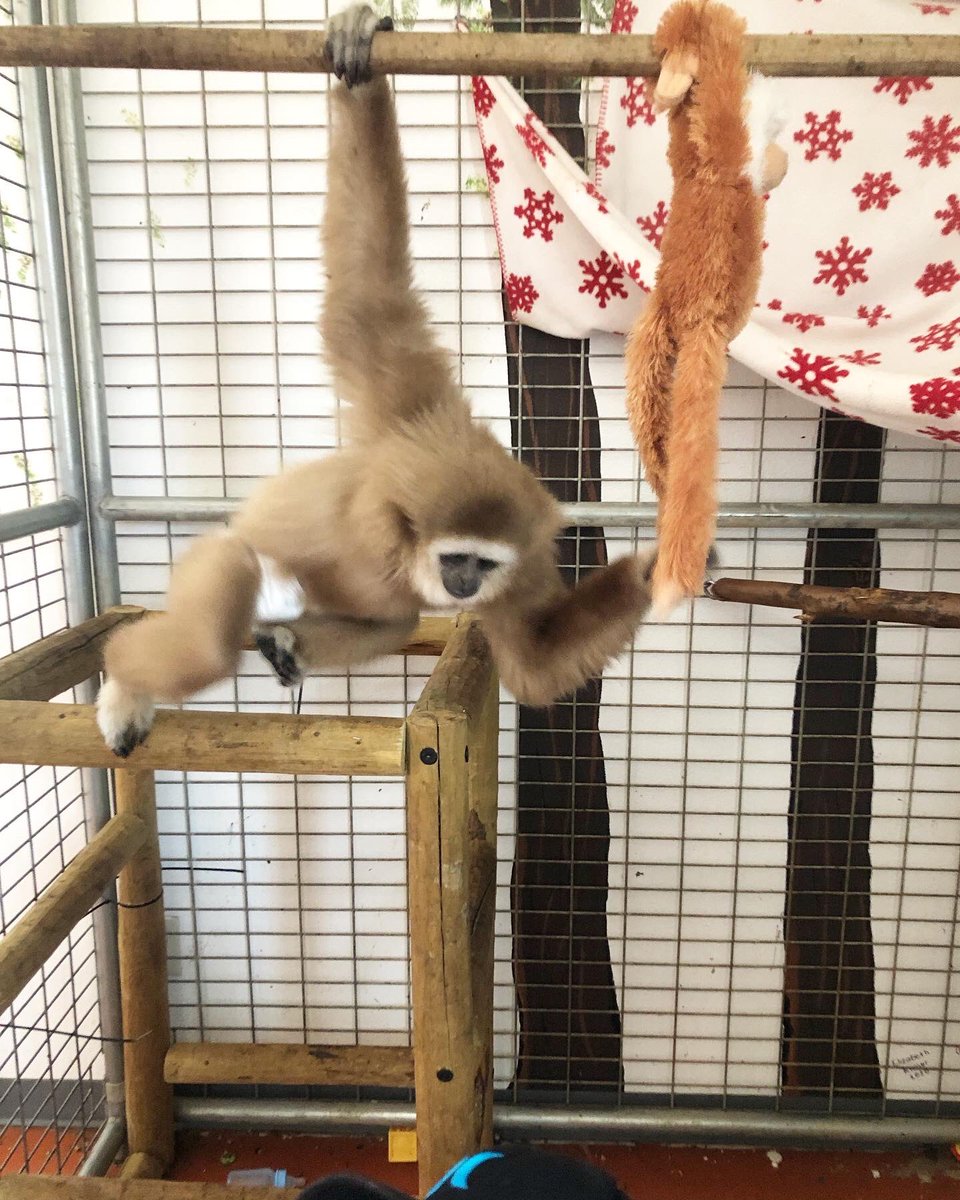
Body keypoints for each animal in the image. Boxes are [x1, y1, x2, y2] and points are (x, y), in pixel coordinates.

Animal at [95, 1, 658, 758]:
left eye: (482, 565)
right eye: (456, 556)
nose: (460, 582)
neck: (405, 547)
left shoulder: (524, 559)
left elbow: (535, 663)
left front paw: (656, 570)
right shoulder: (406, 414)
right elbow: (368, 299)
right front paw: (360, 64)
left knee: (392, 622)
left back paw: (287, 645)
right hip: (227, 557)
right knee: (222, 613)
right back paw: (126, 684)